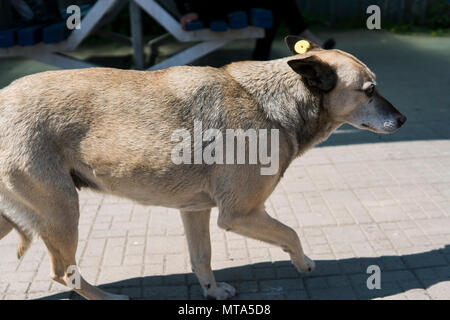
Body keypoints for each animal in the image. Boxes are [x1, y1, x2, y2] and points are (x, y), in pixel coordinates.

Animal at [0, 36, 406, 298]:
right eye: (369, 91)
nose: (402, 120)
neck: (273, 103)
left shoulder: (195, 211)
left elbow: (201, 258)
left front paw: (211, 291)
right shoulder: (241, 214)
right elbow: (291, 233)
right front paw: (303, 263)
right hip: (63, 213)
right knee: (62, 273)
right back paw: (108, 298)